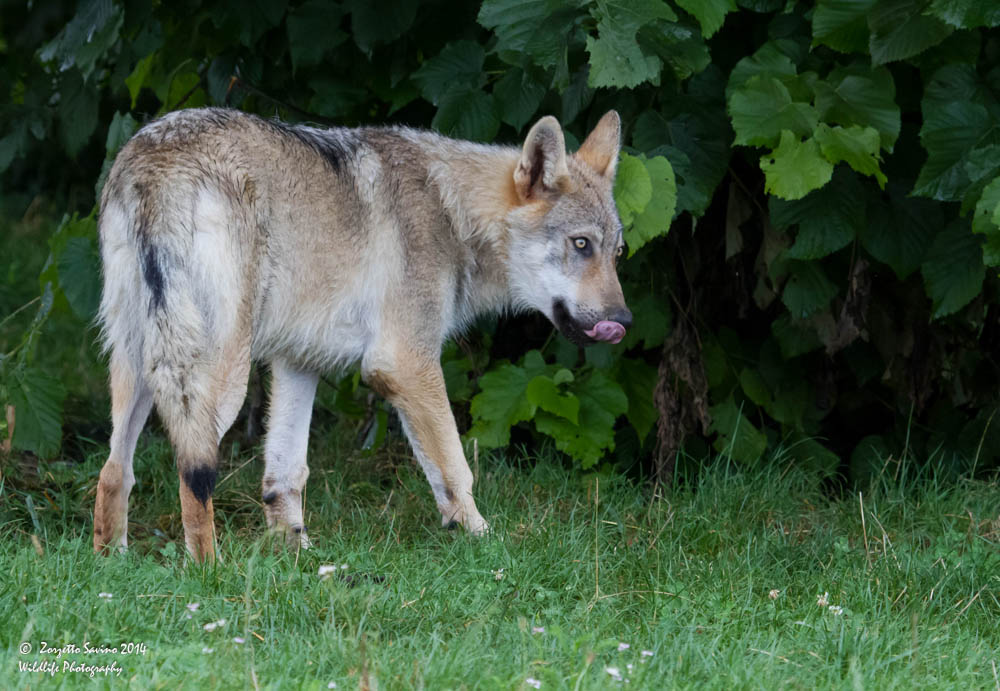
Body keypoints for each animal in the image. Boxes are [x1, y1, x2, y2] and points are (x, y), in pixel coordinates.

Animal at [94, 107, 631, 561]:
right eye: (580, 245)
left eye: (618, 253)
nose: (623, 320)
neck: (452, 213)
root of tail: (153, 161)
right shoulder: (405, 363)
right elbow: (455, 467)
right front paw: (485, 543)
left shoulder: (299, 362)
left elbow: (285, 474)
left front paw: (299, 557)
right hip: (219, 379)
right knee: (192, 470)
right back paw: (210, 571)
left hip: (142, 366)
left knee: (114, 471)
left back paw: (111, 565)